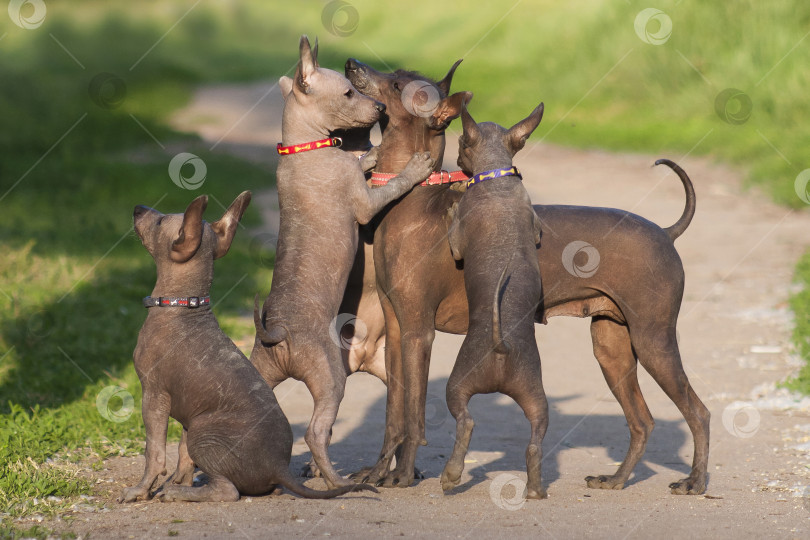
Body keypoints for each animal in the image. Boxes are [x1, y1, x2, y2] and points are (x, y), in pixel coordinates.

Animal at [120, 191, 376, 502]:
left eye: (159, 222)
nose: (137, 207)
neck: (182, 307)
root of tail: (279, 468)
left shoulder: (154, 394)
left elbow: (154, 454)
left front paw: (141, 489)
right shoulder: (185, 412)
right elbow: (182, 455)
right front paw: (181, 479)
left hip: (203, 431)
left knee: (228, 491)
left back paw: (178, 493)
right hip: (200, 426)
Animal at [438, 102, 548, 498]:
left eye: (459, 143)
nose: (456, 160)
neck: (496, 176)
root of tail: (502, 347)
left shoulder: (456, 242)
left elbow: (453, 234)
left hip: (457, 384)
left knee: (466, 422)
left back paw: (451, 474)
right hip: (535, 396)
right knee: (534, 443)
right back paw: (535, 489)